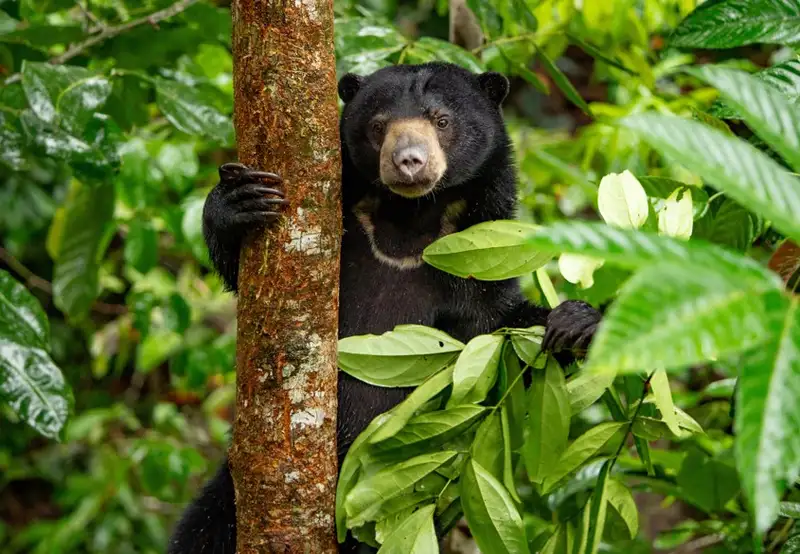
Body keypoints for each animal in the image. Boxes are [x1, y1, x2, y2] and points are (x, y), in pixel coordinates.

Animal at [167, 61, 601, 554]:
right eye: (378, 126)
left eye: (441, 120)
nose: (408, 161)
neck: (408, 220)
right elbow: (241, 274)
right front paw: (240, 199)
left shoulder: (473, 259)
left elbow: (498, 331)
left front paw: (575, 323)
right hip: (227, 498)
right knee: (201, 532)